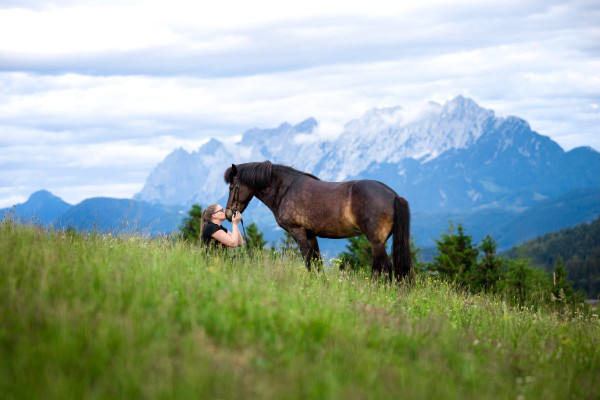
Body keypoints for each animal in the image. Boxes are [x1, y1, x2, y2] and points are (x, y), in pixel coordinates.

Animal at [224, 160, 412, 282]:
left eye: (232, 187)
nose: (228, 214)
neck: (285, 190)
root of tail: (393, 195)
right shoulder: (310, 234)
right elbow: (317, 260)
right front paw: (321, 283)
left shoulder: (297, 231)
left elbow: (307, 259)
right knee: (379, 267)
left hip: (376, 242)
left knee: (384, 267)